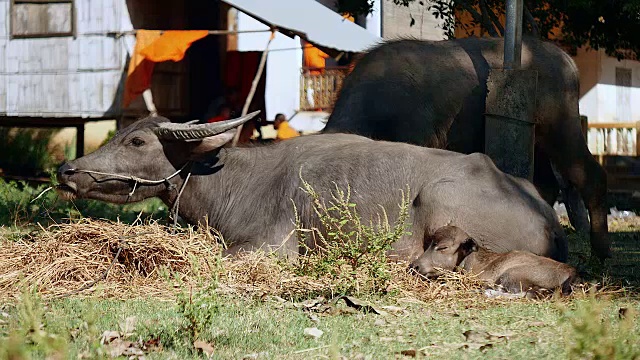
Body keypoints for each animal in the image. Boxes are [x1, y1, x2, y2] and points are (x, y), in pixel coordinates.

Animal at [53, 112, 564, 262]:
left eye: (137, 141)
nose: (66, 170)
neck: (231, 181)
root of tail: (547, 216)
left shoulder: (268, 246)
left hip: (441, 197)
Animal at [324, 36, 608, 260]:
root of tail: (567, 61)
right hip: (538, 143)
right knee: (546, 184)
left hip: (562, 129)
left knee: (592, 176)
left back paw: (600, 252)